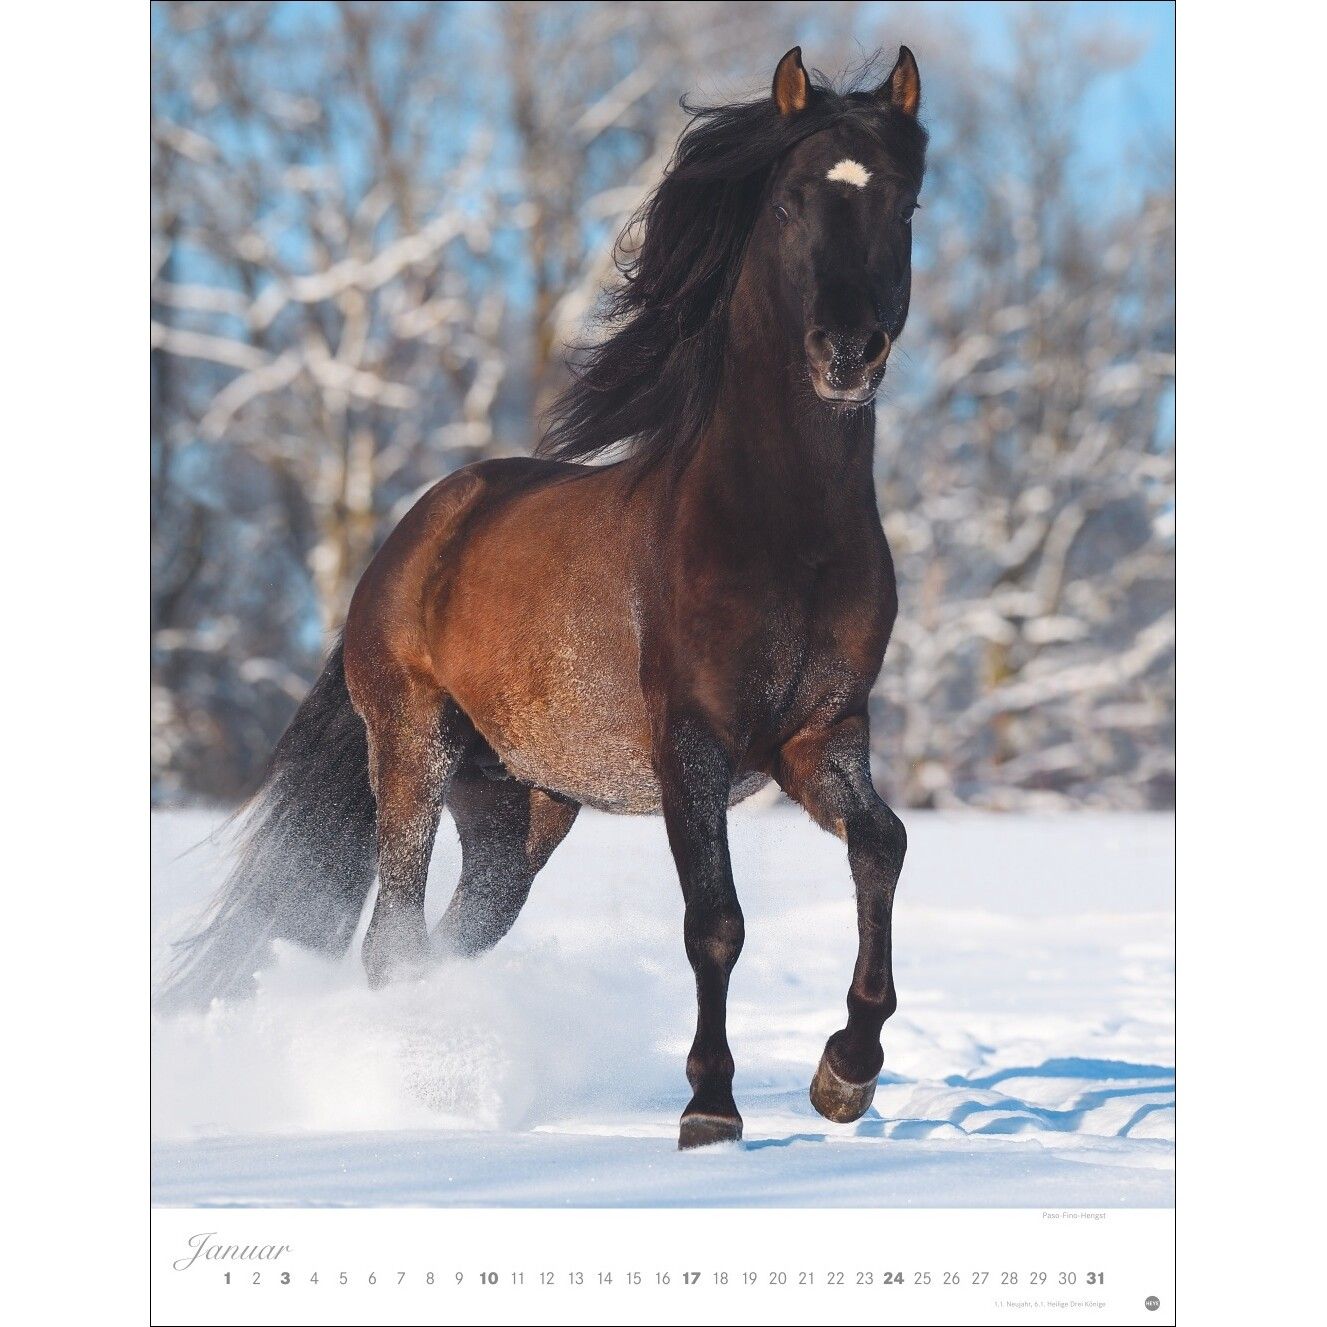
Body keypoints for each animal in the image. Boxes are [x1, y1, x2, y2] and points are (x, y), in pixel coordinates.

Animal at [164, 45, 928, 1151]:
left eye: (903, 204)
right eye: (789, 202)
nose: (846, 351)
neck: (780, 531)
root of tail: (408, 539)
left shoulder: (819, 736)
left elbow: (882, 846)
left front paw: (845, 1072)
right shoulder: (689, 744)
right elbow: (714, 920)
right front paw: (709, 1110)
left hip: (518, 806)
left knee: (449, 939)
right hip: (414, 748)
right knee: (393, 941)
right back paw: (408, 1095)